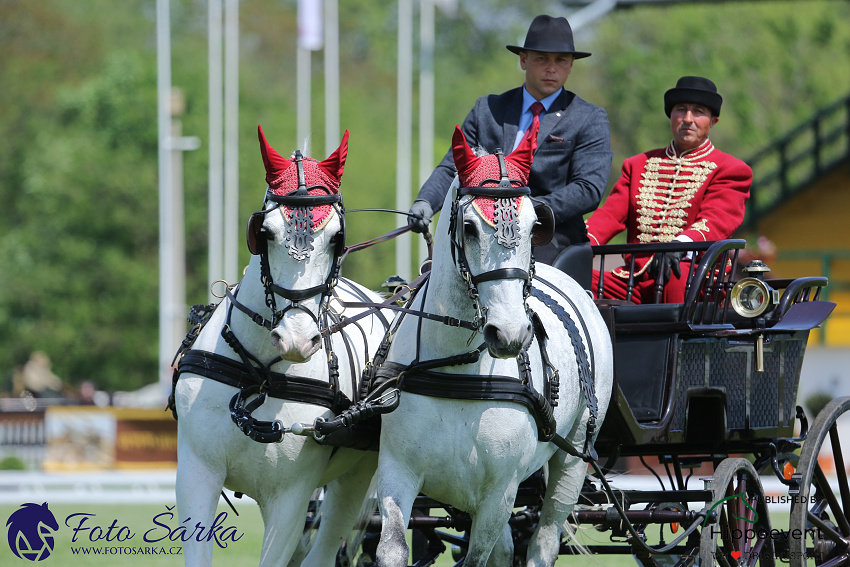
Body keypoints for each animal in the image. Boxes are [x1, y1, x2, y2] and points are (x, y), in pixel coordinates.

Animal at [171, 127, 388, 567]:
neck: (259, 374)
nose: (296, 339)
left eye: (337, 238)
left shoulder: (290, 501)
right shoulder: (195, 477)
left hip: (353, 479)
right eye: (265, 232)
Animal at [372, 124, 608, 567]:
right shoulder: (397, 473)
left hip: (571, 461)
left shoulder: (500, 495)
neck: (458, 367)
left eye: (534, 226)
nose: (510, 333)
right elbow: (392, 549)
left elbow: (478, 557)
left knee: (543, 539)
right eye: (469, 227)